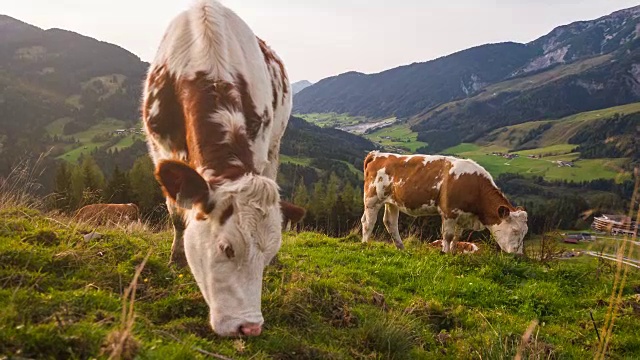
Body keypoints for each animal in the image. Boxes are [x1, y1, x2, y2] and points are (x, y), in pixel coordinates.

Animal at [142, 0, 292, 338]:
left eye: (267, 255)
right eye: (227, 248)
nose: (249, 327)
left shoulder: (258, 146)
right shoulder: (160, 148)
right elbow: (177, 214)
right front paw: (176, 258)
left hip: (276, 144)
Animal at [362, 151, 528, 253]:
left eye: (525, 231)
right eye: (514, 230)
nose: (518, 255)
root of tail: (377, 154)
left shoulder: (462, 216)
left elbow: (457, 236)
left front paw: (453, 253)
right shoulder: (449, 211)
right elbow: (447, 235)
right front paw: (445, 253)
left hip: (392, 202)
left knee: (390, 222)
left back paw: (401, 248)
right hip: (372, 199)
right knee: (368, 222)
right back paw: (365, 244)